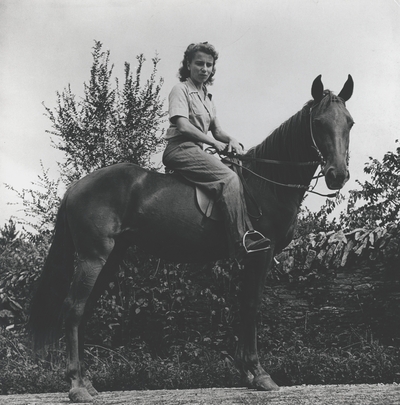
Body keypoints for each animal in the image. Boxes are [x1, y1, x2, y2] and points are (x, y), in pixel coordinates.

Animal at [28, 75, 354, 400]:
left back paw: (87, 382)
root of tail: (76, 187)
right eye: (319, 122)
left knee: (84, 311)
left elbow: (243, 307)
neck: (265, 183)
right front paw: (259, 373)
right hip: (93, 257)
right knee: (74, 309)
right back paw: (76, 386)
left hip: (110, 258)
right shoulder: (260, 253)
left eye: (349, 122)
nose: (337, 175)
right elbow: (251, 307)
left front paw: (246, 371)